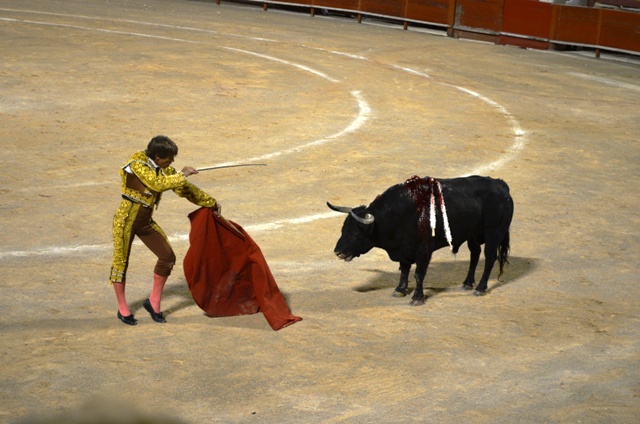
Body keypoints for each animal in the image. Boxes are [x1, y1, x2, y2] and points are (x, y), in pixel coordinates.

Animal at [328, 176, 512, 304]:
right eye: (343, 229)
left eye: (355, 233)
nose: (338, 252)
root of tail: (501, 185)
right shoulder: (403, 249)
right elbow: (404, 269)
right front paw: (400, 290)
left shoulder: (423, 250)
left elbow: (418, 273)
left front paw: (417, 298)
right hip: (472, 235)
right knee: (475, 254)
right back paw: (467, 283)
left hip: (494, 233)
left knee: (489, 258)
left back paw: (480, 288)